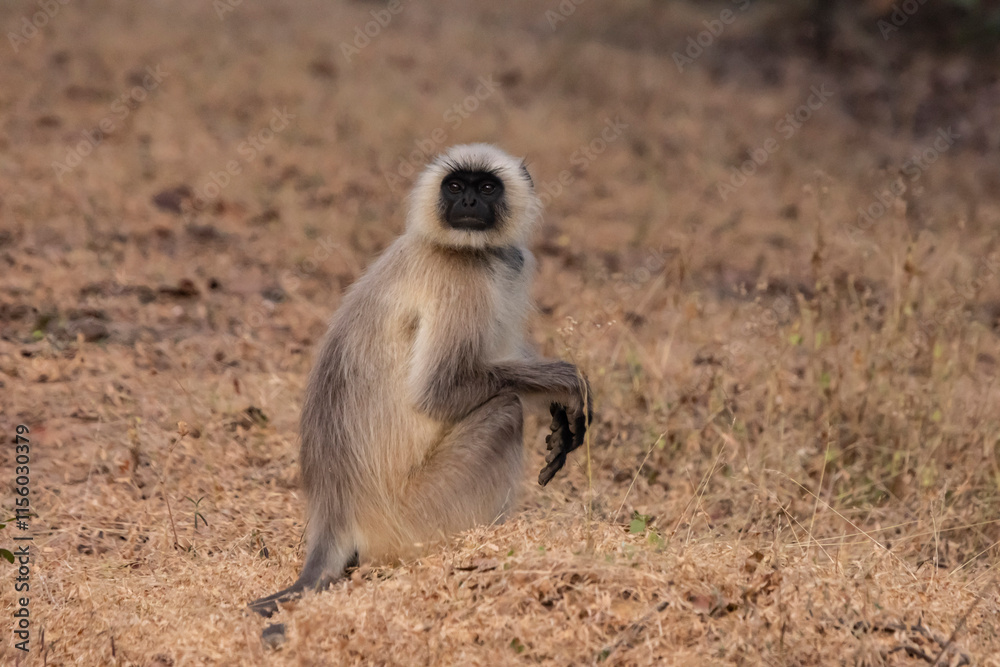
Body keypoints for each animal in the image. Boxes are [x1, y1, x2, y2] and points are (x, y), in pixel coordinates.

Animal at [249, 143, 592, 622]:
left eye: (486, 187)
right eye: (455, 185)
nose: (469, 202)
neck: (470, 250)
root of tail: (334, 511)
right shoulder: (461, 279)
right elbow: (439, 392)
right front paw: (564, 383)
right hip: (416, 514)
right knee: (506, 407)